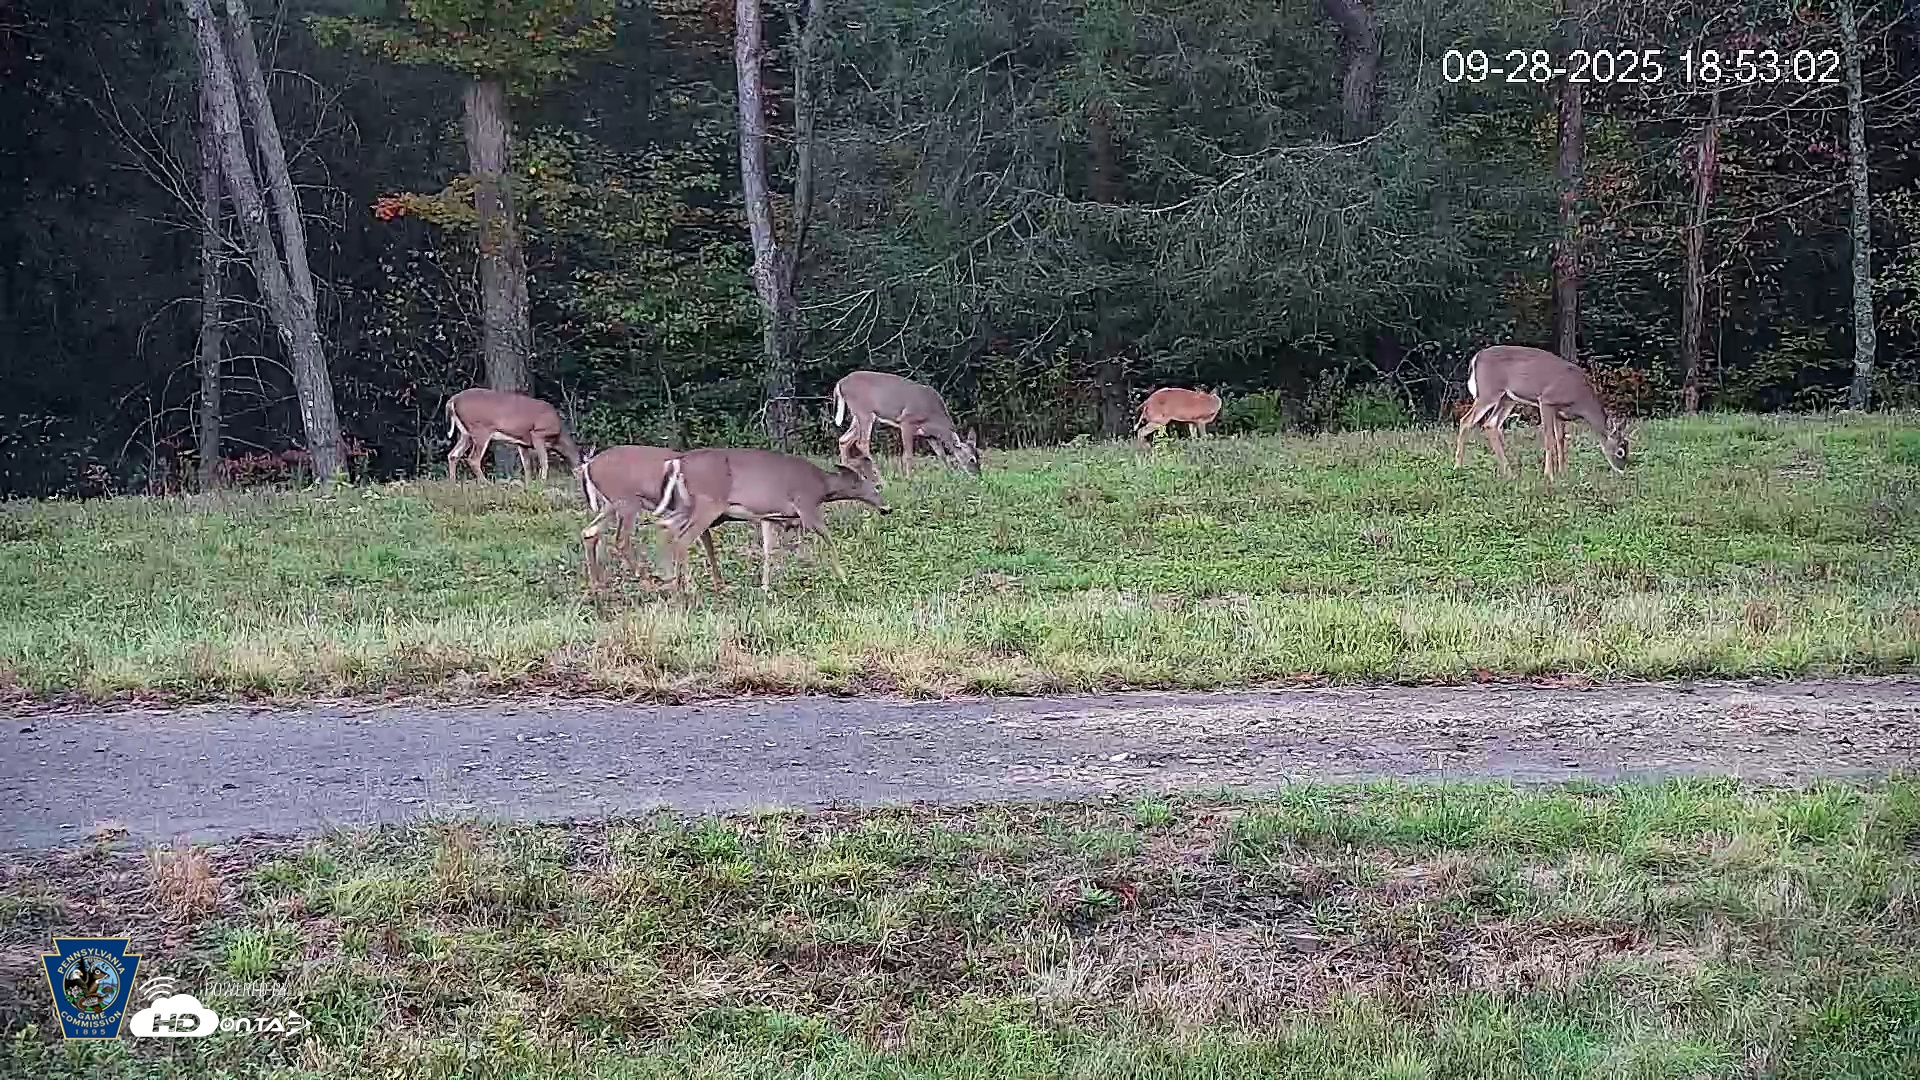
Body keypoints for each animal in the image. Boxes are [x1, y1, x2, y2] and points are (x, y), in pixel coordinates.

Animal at [445, 387, 583, 483]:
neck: (558, 437)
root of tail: (452, 400)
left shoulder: (522, 443)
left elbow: (527, 466)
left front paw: (529, 484)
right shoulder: (538, 433)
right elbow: (544, 462)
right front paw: (542, 481)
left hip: (466, 434)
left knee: (453, 455)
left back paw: (453, 484)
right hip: (480, 429)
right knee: (473, 459)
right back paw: (487, 484)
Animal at [656, 447, 890, 595]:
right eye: (872, 486)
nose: (886, 508)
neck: (821, 487)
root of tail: (677, 463)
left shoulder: (771, 516)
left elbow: (769, 550)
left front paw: (765, 587)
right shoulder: (806, 506)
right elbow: (828, 538)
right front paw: (843, 577)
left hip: (685, 506)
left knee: (668, 530)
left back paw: (674, 584)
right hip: (708, 504)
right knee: (682, 538)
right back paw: (689, 586)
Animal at [831, 370, 980, 481]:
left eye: (978, 457)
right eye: (972, 459)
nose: (978, 476)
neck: (935, 419)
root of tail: (840, 383)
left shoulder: (930, 435)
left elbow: (941, 455)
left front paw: (950, 475)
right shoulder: (907, 422)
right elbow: (908, 455)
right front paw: (910, 479)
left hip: (857, 416)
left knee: (844, 439)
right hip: (864, 412)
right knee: (861, 443)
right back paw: (881, 480)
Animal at [1453, 345, 1629, 480]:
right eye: (1620, 451)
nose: (1622, 470)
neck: (1580, 398)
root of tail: (1476, 358)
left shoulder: (1559, 413)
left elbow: (1560, 439)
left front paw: (1562, 472)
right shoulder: (1546, 401)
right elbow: (1549, 437)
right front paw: (1549, 474)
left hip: (1507, 398)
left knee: (1491, 424)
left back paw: (1509, 473)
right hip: (1489, 392)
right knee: (1466, 421)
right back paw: (1458, 467)